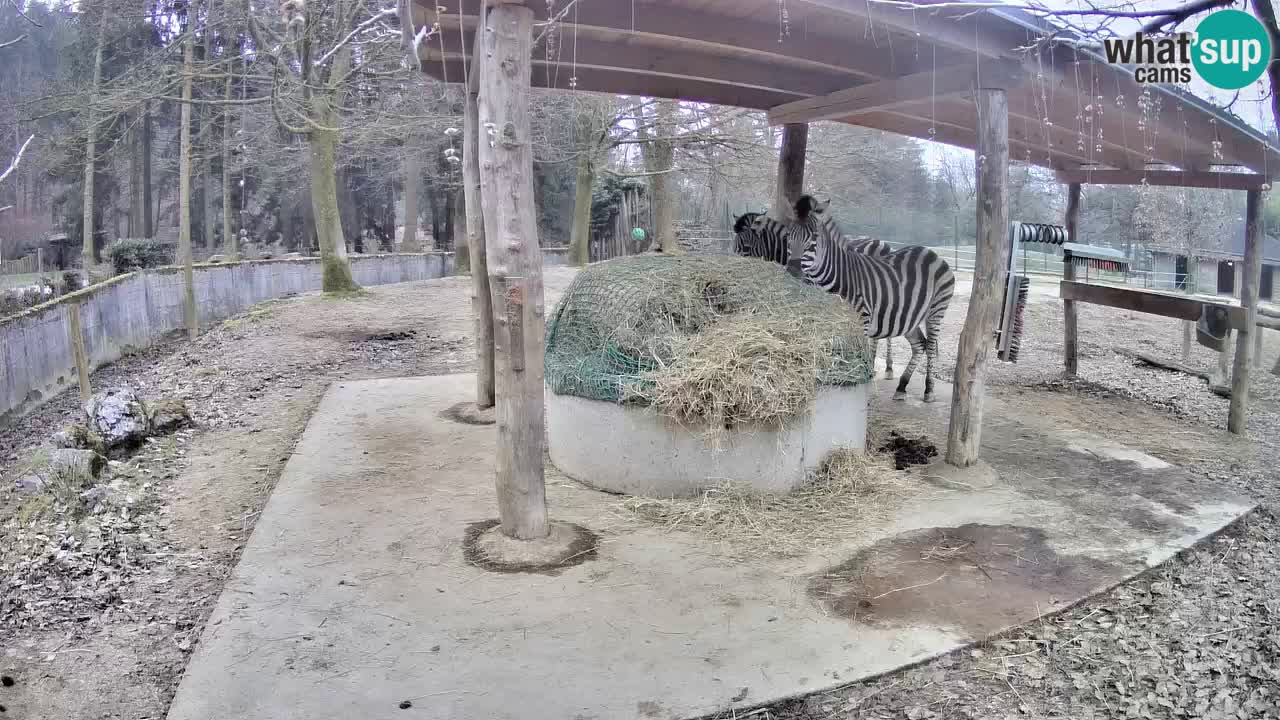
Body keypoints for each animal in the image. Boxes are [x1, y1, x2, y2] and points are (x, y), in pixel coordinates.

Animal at [778, 193, 952, 399]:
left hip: (936, 311)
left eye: (814, 238)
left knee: (930, 346)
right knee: (920, 345)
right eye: (789, 235)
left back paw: (929, 390)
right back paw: (902, 386)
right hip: (909, 317)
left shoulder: (862, 318)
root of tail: (930, 252)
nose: (793, 270)